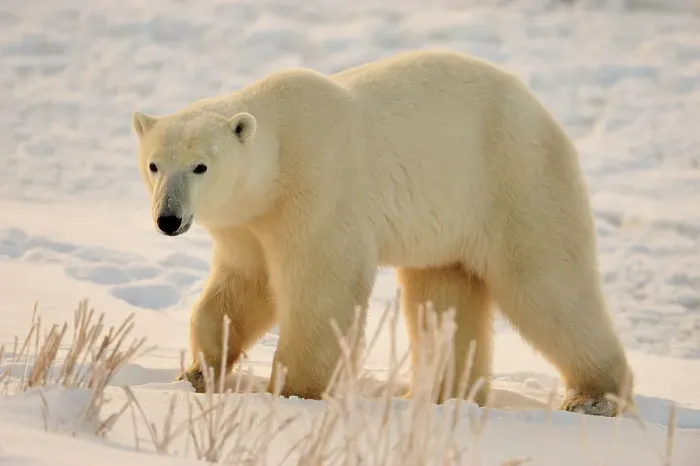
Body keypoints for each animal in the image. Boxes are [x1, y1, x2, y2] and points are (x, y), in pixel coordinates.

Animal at [131, 48, 634, 417]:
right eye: (154, 165)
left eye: (200, 166)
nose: (168, 219)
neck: (278, 157)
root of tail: (543, 113)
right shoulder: (248, 223)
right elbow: (242, 287)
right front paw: (199, 372)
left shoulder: (318, 189)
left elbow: (322, 289)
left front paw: (297, 392)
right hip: (448, 224)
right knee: (443, 297)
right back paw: (442, 394)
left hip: (513, 181)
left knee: (547, 286)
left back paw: (593, 397)